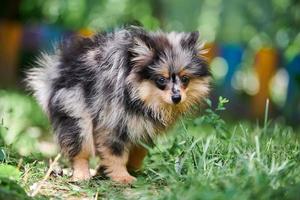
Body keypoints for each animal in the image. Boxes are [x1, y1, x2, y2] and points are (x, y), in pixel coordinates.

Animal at [27, 26, 211, 184]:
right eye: (161, 80)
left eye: (185, 79)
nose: (177, 97)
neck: (138, 97)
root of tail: (57, 71)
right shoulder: (113, 123)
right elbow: (116, 154)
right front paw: (122, 177)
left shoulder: (142, 127)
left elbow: (139, 151)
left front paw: (133, 169)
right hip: (76, 113)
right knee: (80, 148)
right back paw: (82, 174)